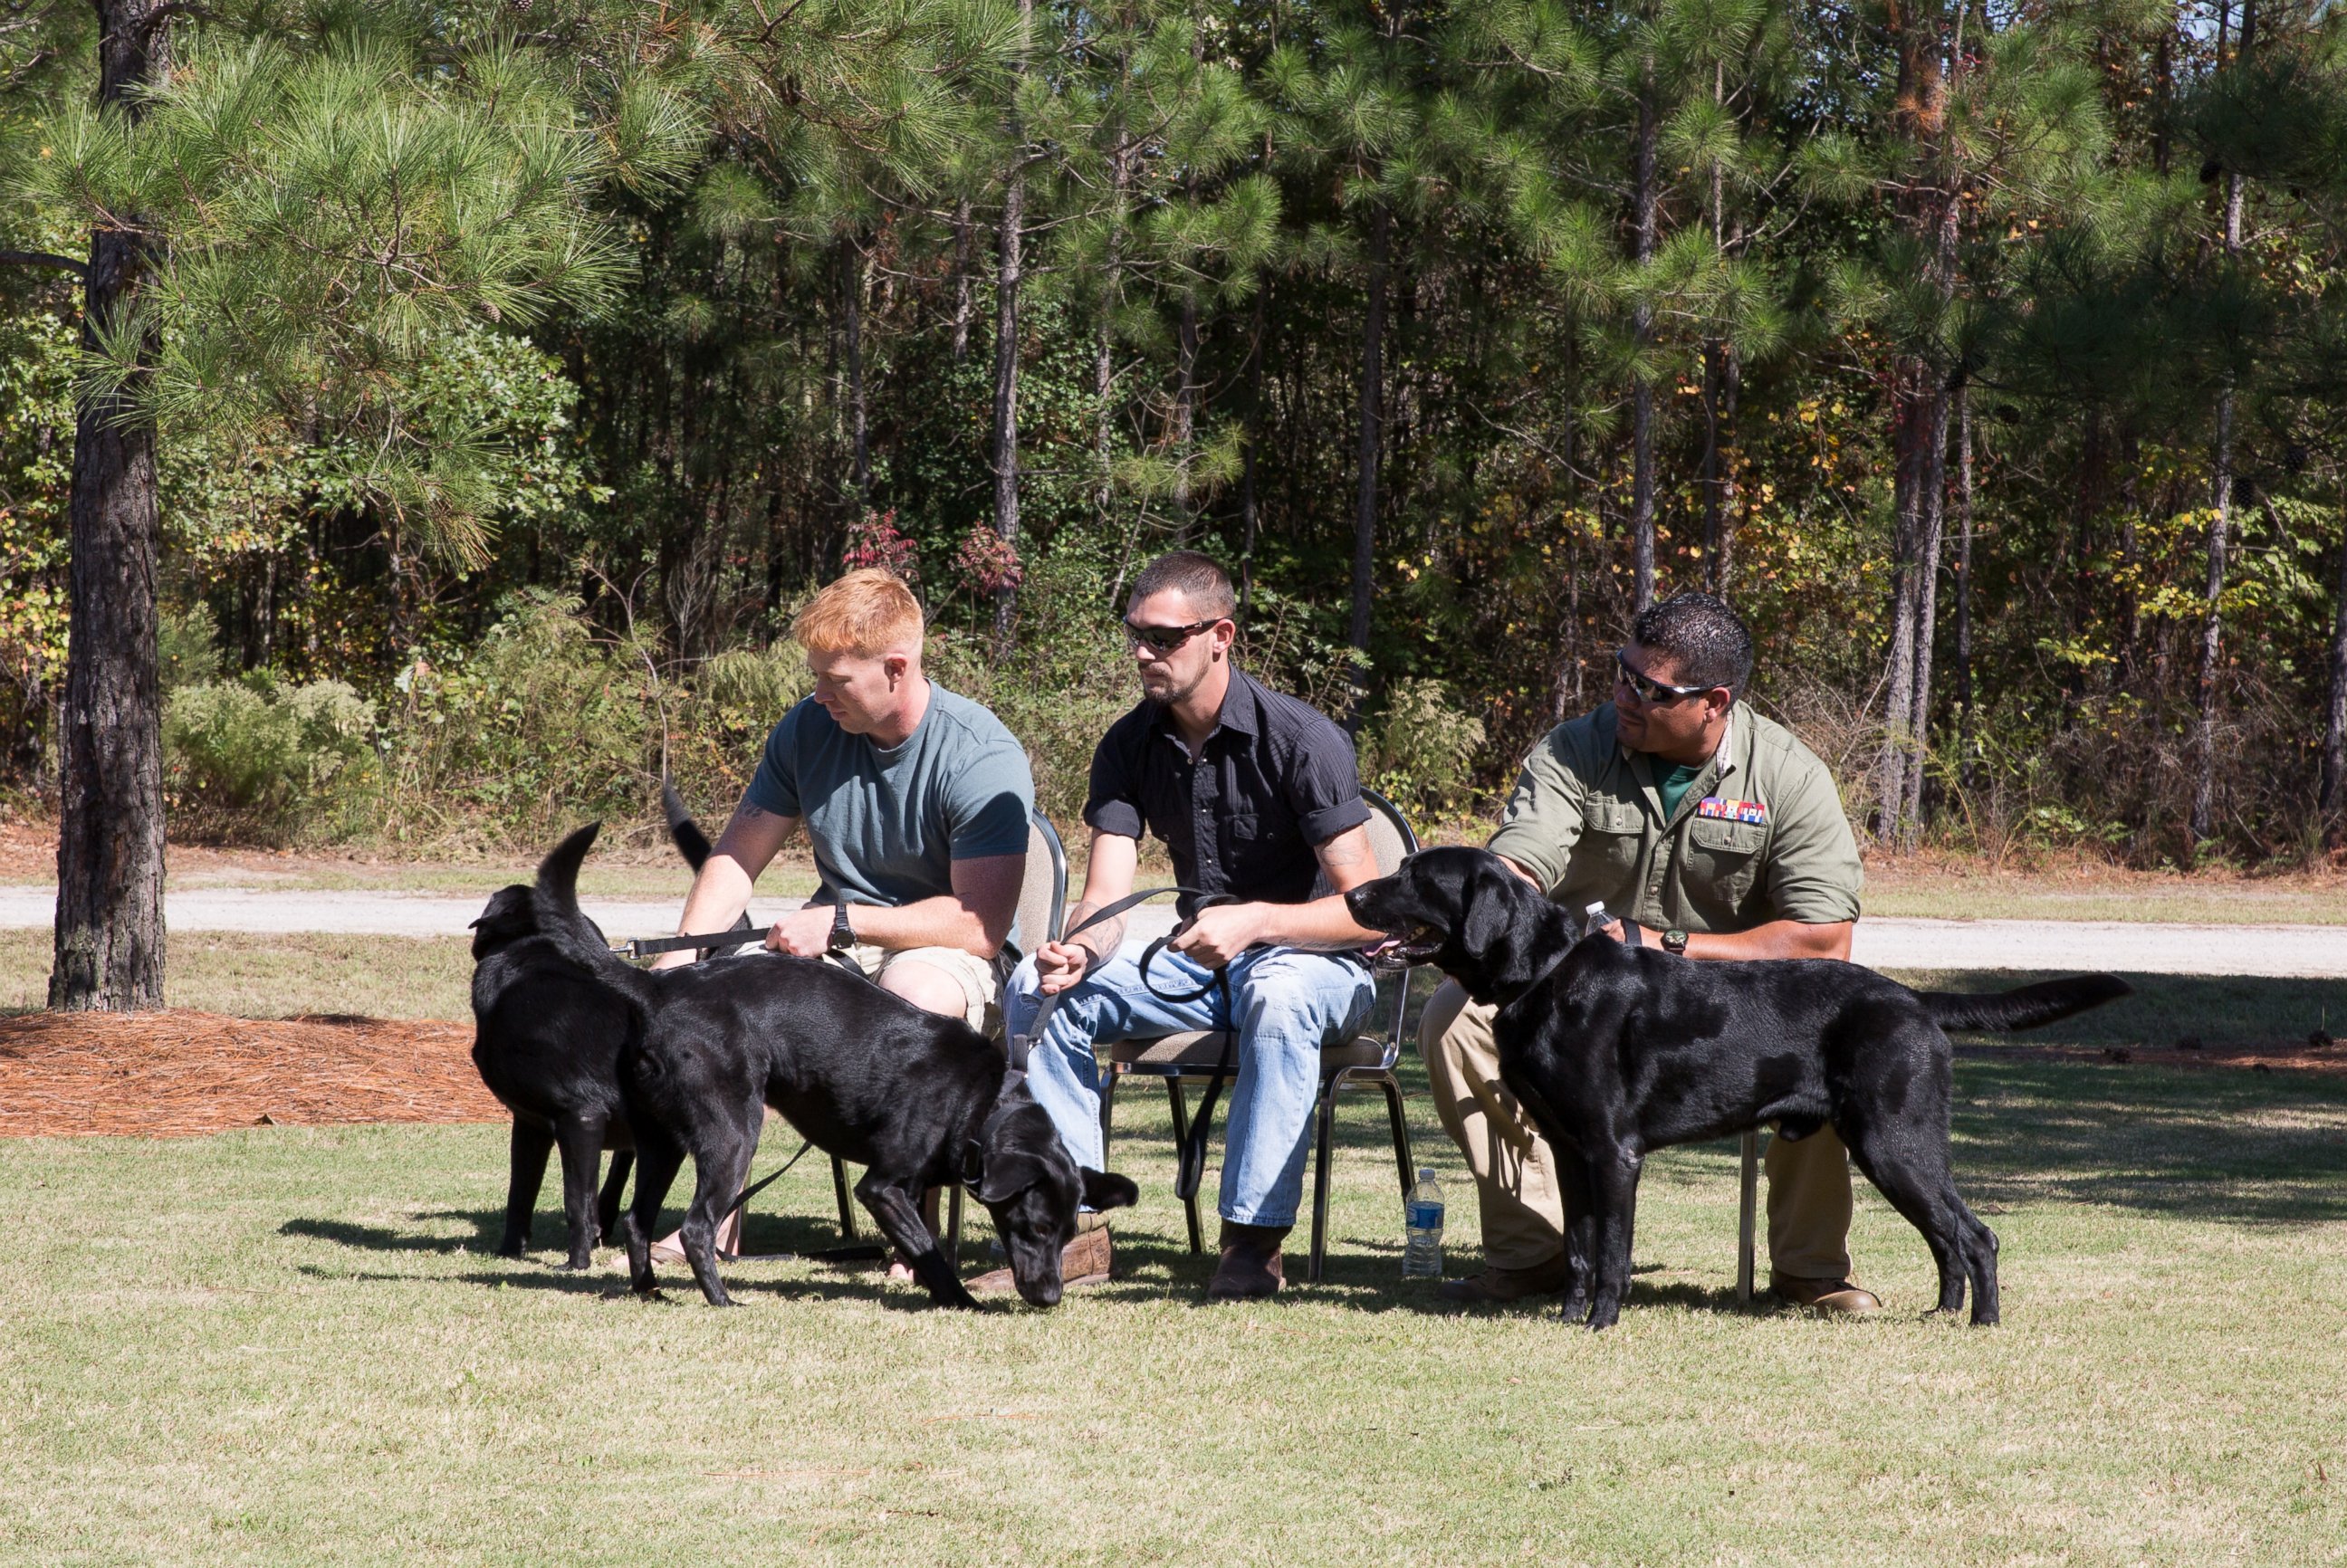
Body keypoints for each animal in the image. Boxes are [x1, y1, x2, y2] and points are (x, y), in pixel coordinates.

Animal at [465, 784, 742, 1257]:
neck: (530, 955)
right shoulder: (530, 1123)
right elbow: (521, 1193)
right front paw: (509, 1253)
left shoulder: (580, 1116)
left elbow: (576, 1199)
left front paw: (576, 1262)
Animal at [528, 821, 1131, 1314]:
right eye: (1035, 1225)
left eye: (1066, 1233)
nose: (1050, 1297)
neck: (980, 1100)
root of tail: (658, 988)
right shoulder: (882, 1188)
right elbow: (928, 1248)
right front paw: (961, 1300)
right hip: (731, 1134)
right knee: (697, 1227)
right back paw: (723, 1300)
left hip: (662, 1140)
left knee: (636, 1221)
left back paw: (650, 1291)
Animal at [1342, 849, 2131, 1333]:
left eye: (1416, 875)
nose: (1350, 892)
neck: (1548, 975)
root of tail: (1913, 1000)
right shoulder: (1569, 1152)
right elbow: (1578, 1248)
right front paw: (1568, 1320)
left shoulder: (1614, 1152)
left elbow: (1613, 1251)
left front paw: (1601, 1323)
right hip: (1889, 1152)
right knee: (1947, 1239)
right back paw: (1941, 1315)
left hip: (1894, 1143)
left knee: (1977, 1236)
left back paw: (1981, 1325)